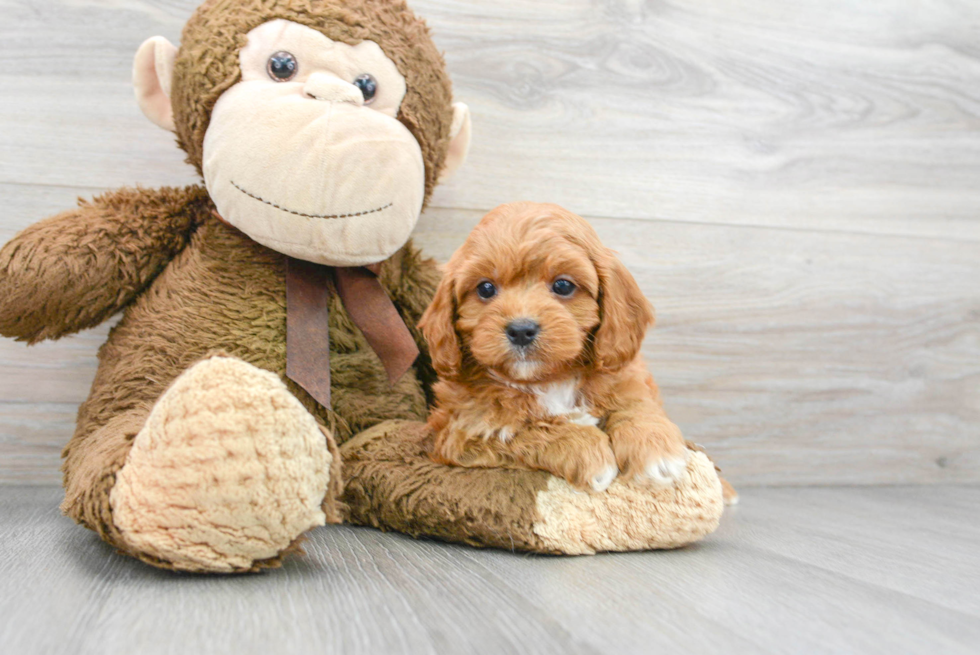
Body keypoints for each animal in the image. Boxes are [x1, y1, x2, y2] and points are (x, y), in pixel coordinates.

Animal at [420, 202, 688, 490]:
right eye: (485, 289)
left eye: (563, 285)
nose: (521, 330)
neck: (549, 380)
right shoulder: (461, 431)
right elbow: (523, 432)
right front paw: (588, 451)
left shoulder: (626, 377)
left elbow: (636, 404)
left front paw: (656, 451)